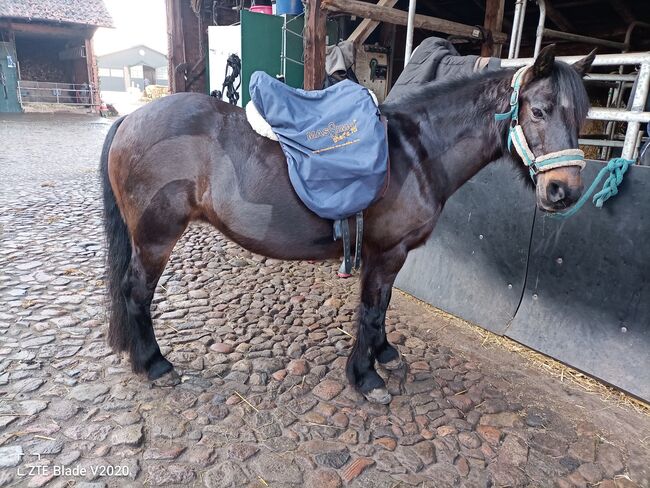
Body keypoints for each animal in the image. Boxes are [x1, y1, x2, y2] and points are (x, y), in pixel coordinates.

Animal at [100, 45, 592, 404]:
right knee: (136, 292)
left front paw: (385, 354)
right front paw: (366, 377)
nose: (563, 191)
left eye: (581, 116)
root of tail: (130, 118)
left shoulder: (387, 255)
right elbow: (371, 309)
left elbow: (383, 306)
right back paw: (155, 364)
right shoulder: (386, 252)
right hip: (156, 238)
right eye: (540, 110)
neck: (417, 152)